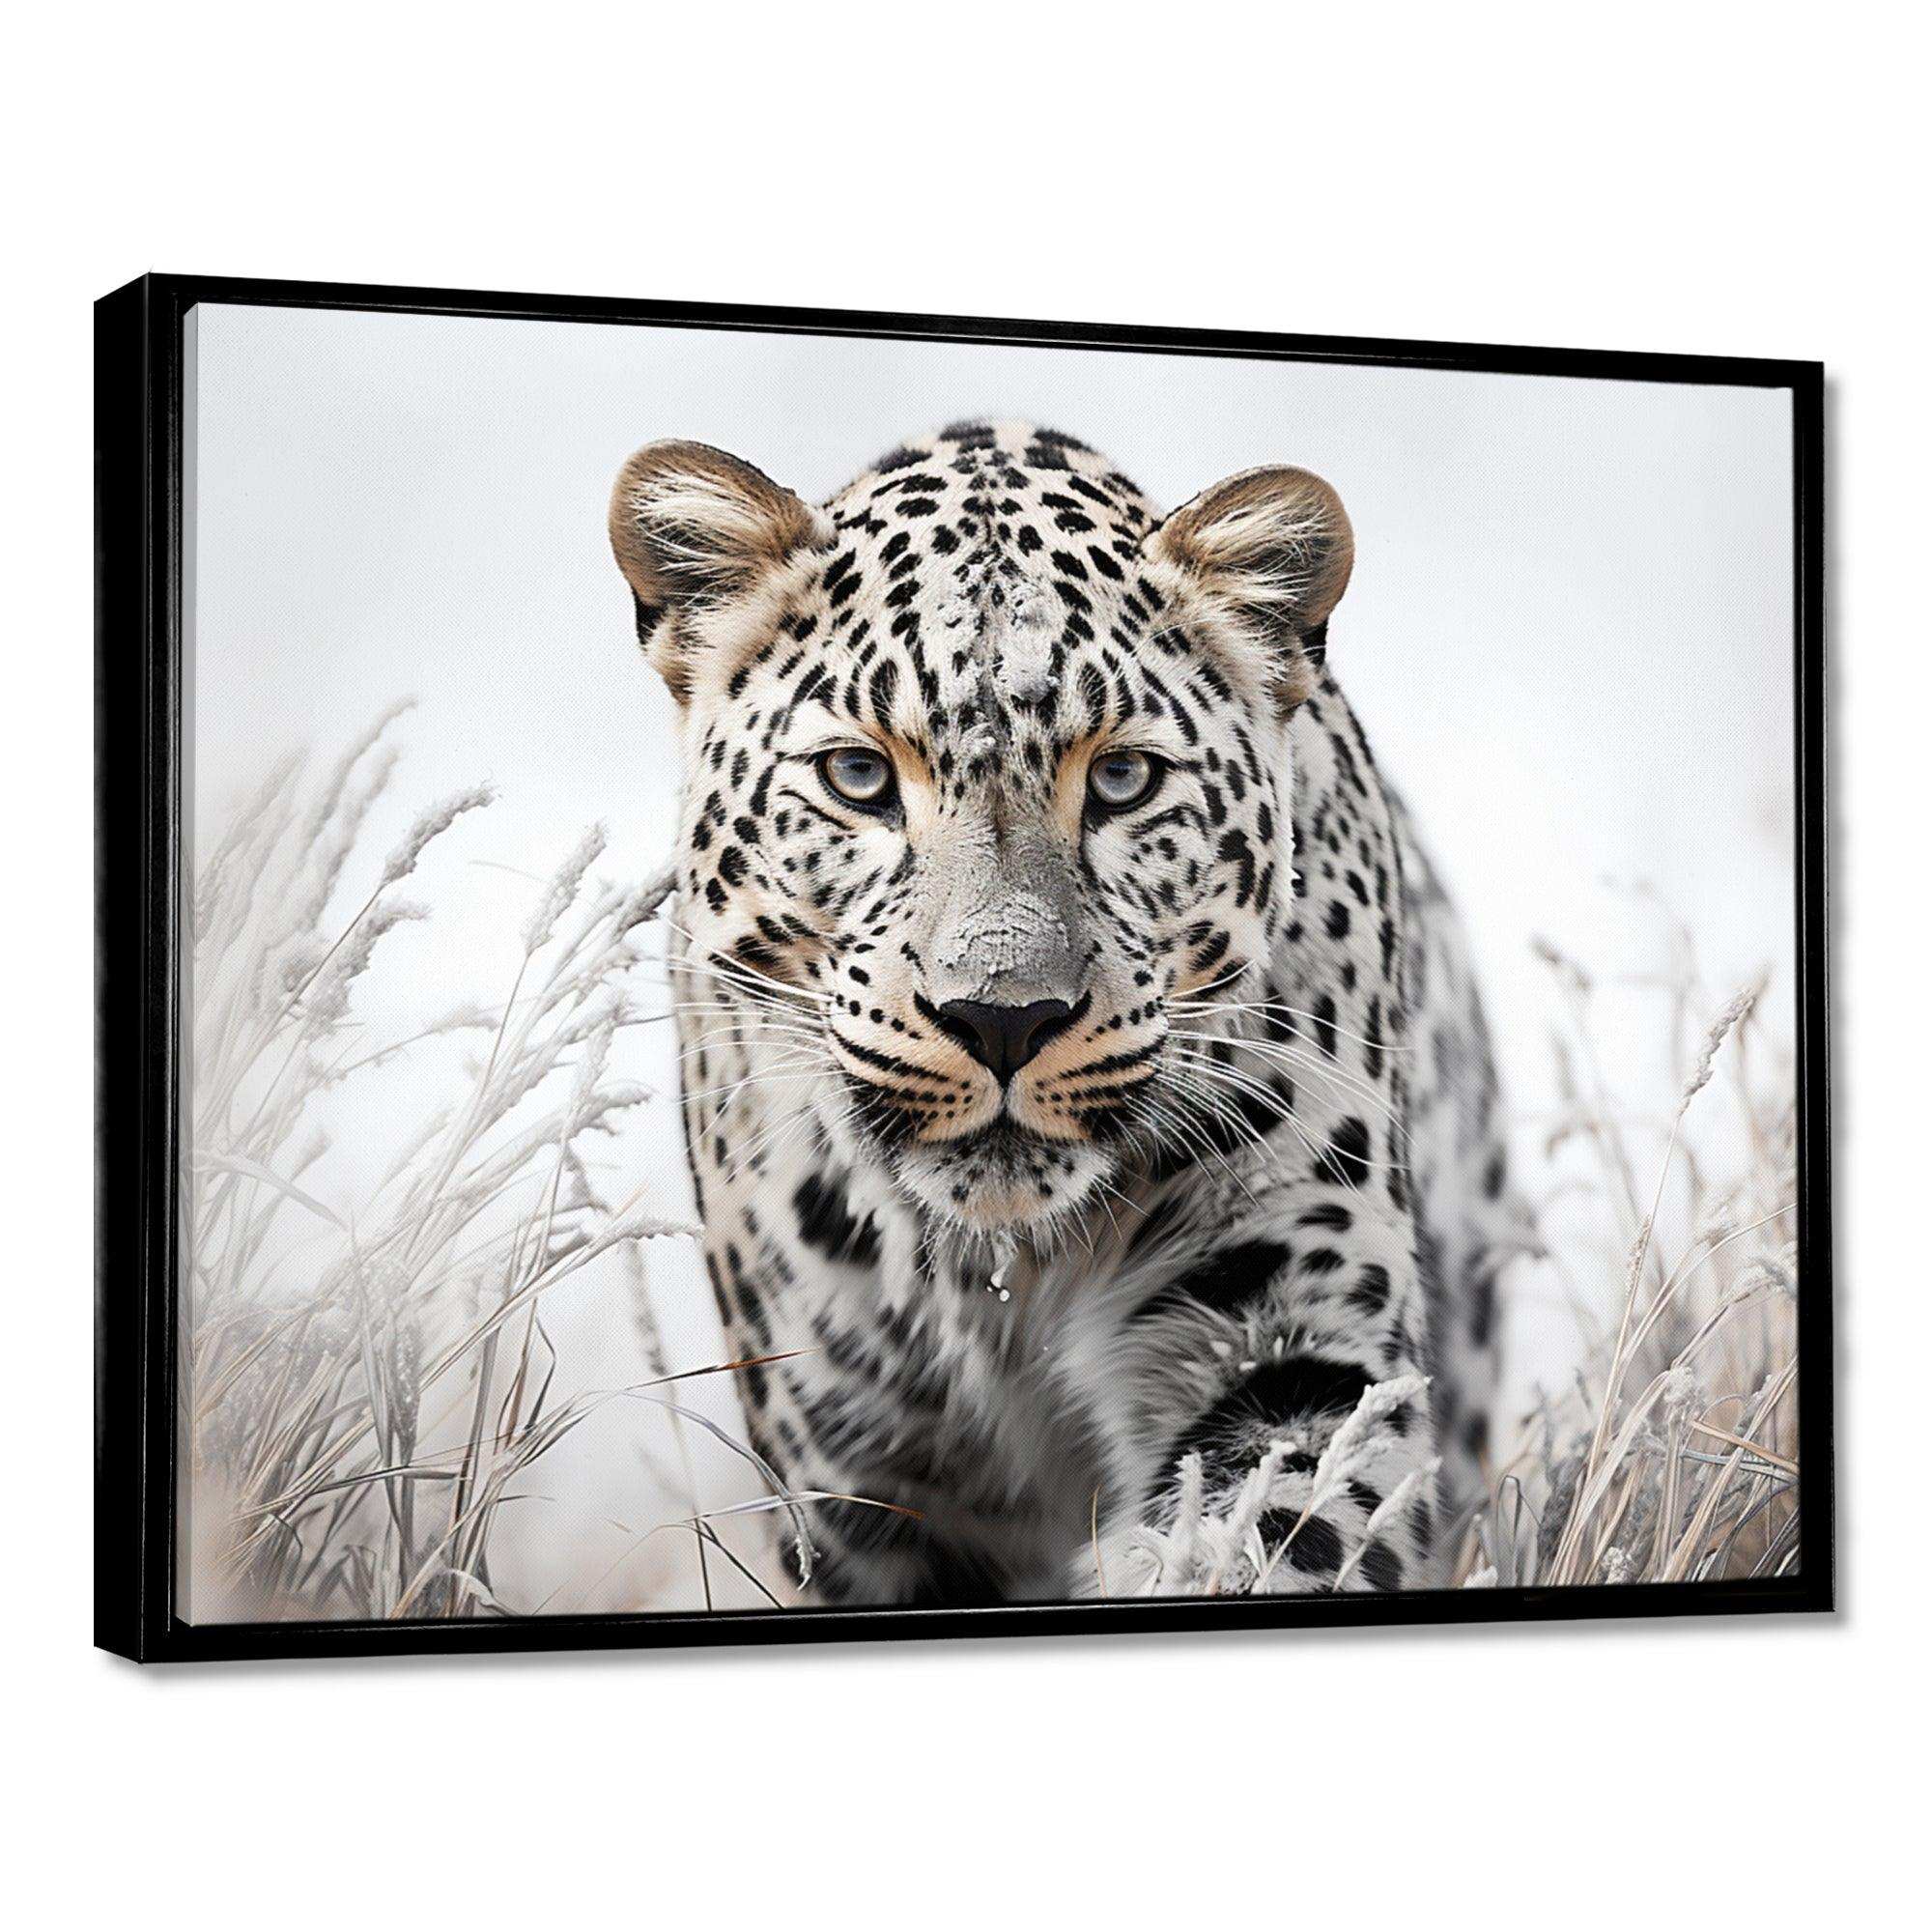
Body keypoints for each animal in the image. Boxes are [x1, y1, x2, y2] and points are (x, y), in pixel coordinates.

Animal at [607, 417, 1529, 1606]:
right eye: (858, 776)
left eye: (1124, 779)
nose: (1003, 1018)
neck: (1000, 1280)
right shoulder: (851, 1465)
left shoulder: (1297, 1336)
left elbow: (1266, 1532)